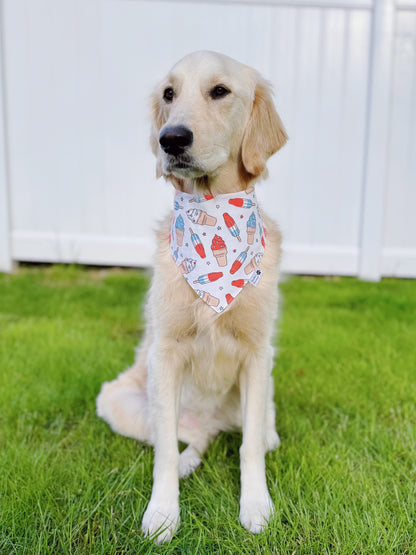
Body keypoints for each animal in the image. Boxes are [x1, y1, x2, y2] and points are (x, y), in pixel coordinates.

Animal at [96, 50, 288, 544]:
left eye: (220, 91)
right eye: (169, 93)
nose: (172, 139)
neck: (213, 212)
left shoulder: (258, 354)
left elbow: (249, 450)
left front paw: (256, 507)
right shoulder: (164, 354)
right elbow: (162, 452)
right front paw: (162, 513)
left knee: (254, 437)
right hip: (121, 401)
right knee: (183, 441)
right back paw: (186, 462)